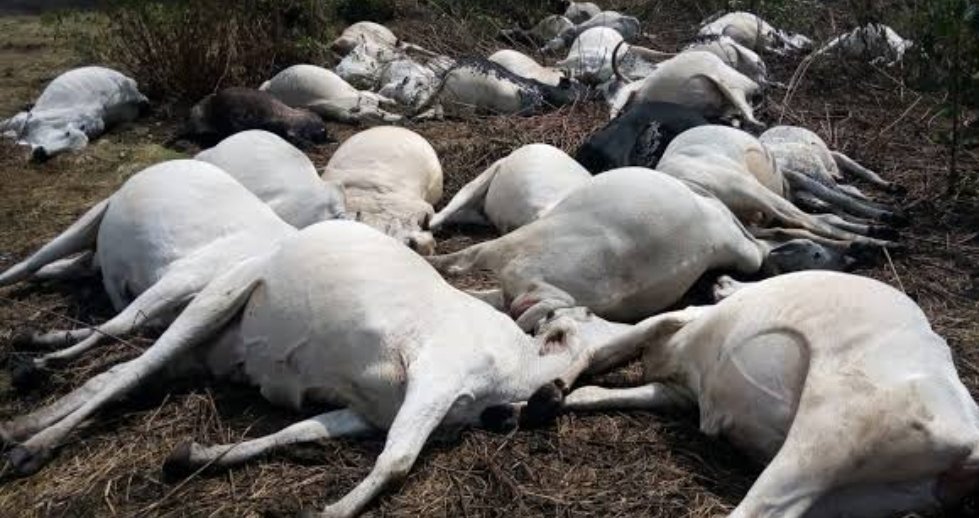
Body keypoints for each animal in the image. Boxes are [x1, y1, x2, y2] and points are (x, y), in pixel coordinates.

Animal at [0, 160, 296, 377]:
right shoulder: (182, 277)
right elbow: (118, 325)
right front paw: (45, 360)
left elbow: (124, 325)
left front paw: (39, 347)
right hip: (92, 218)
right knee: (31, 263)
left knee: (78, 268)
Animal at [0, 220, 632, 518]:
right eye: (569, 328)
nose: (554, 393)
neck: (513, 365)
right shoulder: (435, 376)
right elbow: (397, 462)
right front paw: (329, 509)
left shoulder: (369, 411)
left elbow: (295, 431)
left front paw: (196, 455)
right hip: (214, 302)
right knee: (131, 367)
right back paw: (32, 443)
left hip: (205, 352)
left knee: (117, 373)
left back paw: (24, 422)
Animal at [527, 271, 979, 518]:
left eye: (557, 325)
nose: (720, 281)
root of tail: (970, 442)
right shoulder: (678, 391)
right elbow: (597, 391)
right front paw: (555, 400)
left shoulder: (681, 318)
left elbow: (603, 350)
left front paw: (544, 396)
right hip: (862, 498)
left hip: (832, 434)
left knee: (757, 508)